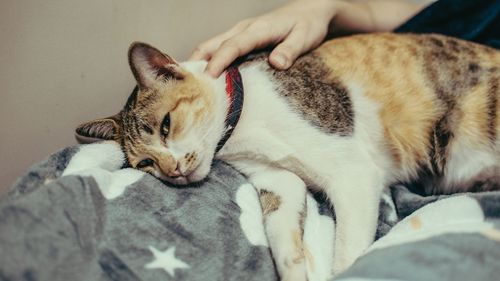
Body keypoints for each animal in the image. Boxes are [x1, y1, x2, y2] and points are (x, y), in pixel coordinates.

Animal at [76, 33, 498, 280]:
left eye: (166, 126)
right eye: (145, 164)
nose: (173, 171)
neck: (241, 130)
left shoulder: (353, 174)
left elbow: (348, 256)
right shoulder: (275, 178)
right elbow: (278, 223)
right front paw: (296, 265)